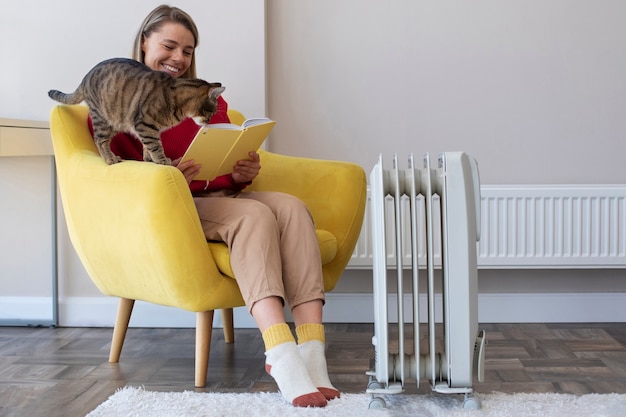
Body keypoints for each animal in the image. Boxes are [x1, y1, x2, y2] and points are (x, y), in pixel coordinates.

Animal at [48, 57, 224, 165]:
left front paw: (149, 159)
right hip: (103, 118)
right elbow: (155, 145)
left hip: (116, 122)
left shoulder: (148, 129)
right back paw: (110, 159)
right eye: (211, 113)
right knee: (100, 140)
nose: (209, 122)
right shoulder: (145, 124)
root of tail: (85, 78)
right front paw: (162, 160)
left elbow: (147, 146)